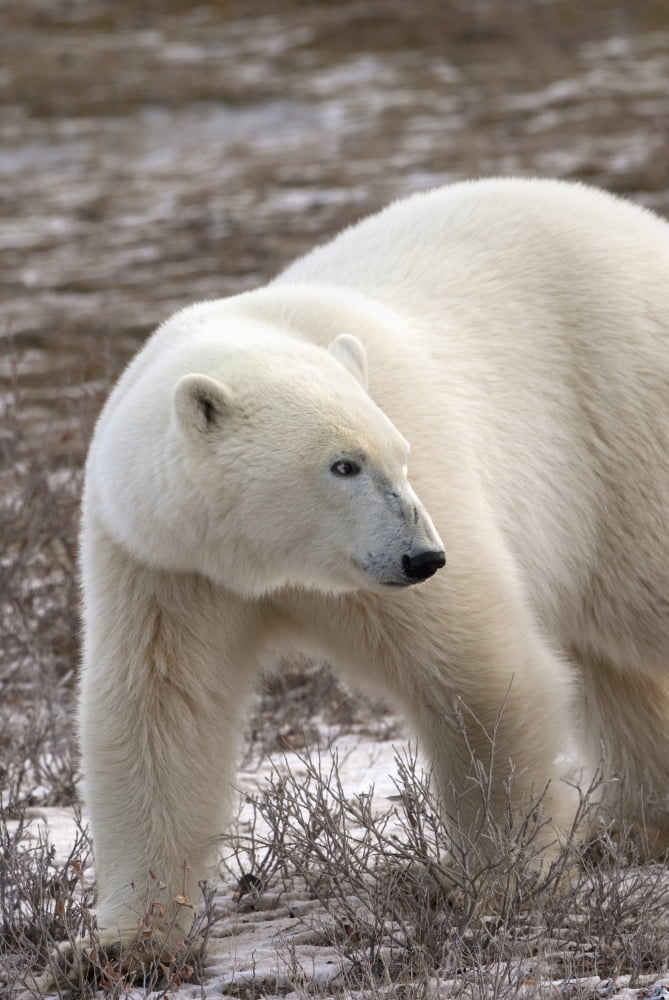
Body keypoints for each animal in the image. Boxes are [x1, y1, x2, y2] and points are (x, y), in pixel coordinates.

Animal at [79, 177, 669, 962]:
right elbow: (156, 713)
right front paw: (118, 945)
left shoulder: (416, 514)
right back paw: (636, 822)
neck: (270, 566)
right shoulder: (164, 564)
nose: (423, 556)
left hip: (621, 421)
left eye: (399, 454)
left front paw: (499, 883)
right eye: (342, 465)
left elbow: (480, 675)